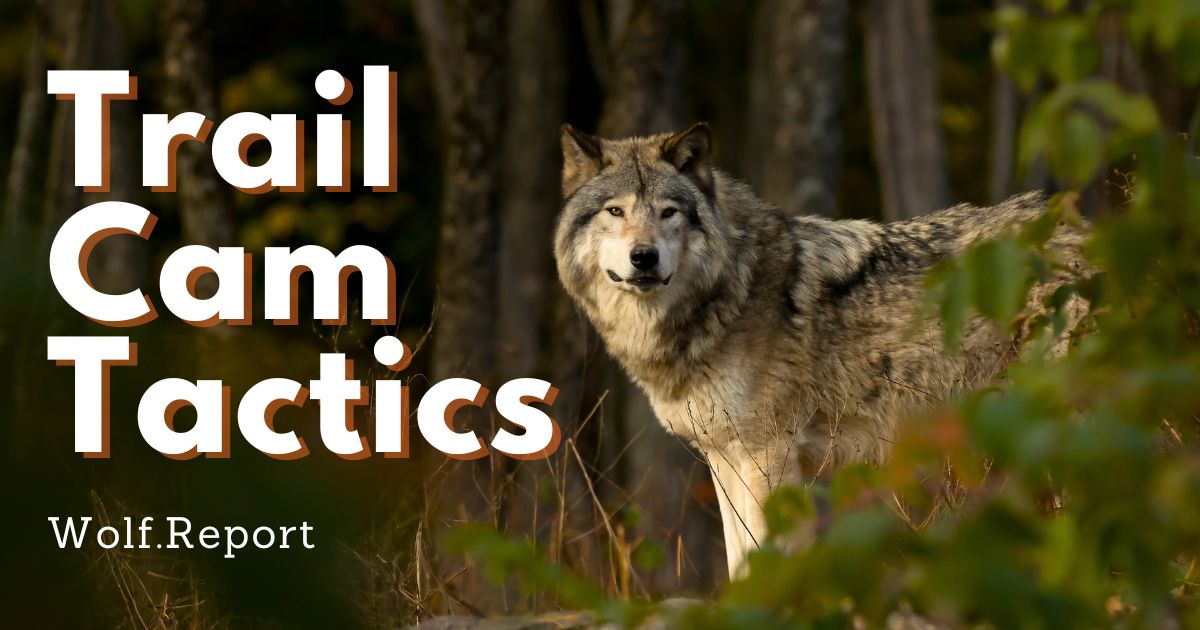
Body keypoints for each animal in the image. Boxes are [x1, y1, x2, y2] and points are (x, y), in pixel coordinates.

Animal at [553, 123, 1088, 578]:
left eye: (668, 212)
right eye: (615, 211)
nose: (644, 258)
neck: (731, 291)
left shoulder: (768, 456)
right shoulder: (724, 459)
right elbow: (737, 557)